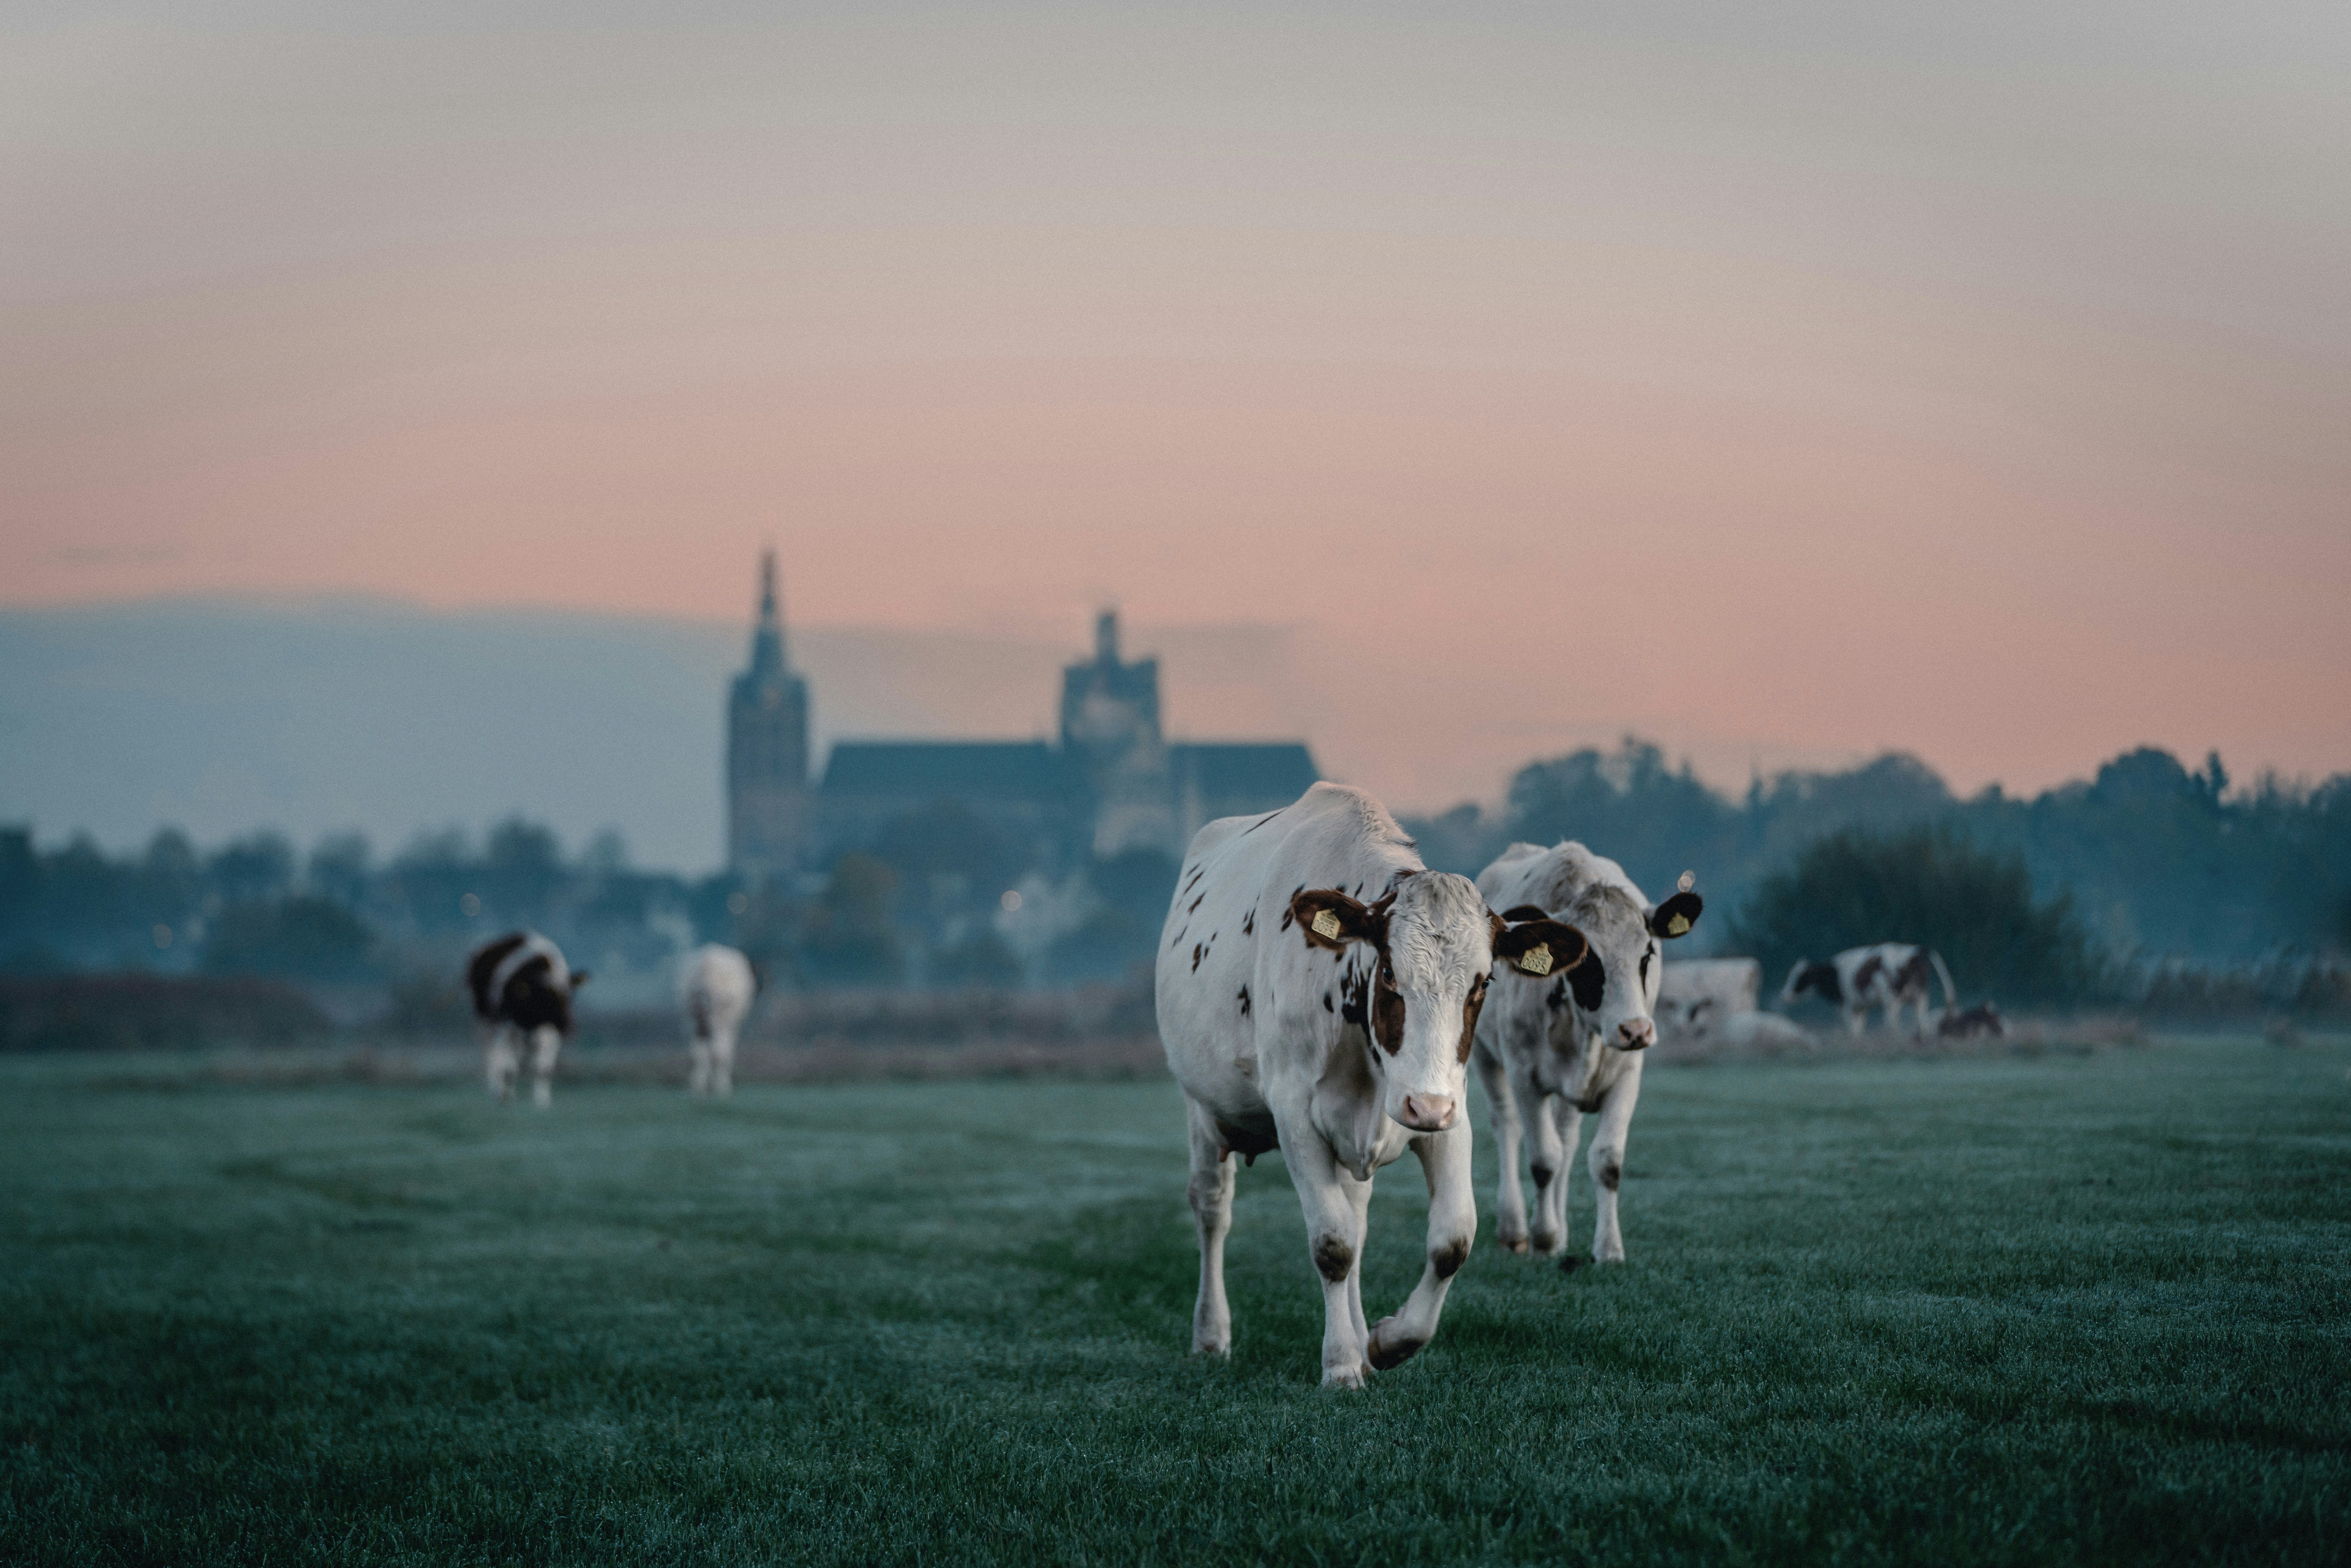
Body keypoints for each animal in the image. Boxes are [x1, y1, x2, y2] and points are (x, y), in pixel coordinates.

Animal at [465, 931, 588, 1107]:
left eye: (570, 995)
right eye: (547, 999)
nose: (569, 1026)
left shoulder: (549, 1031)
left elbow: (543, 1069)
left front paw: (542, 1102)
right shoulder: (505, 1022)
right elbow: (507, 1066)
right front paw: (503, 1096)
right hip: (485, 1020)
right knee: (491, 1053)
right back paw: (497, 1090)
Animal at [677, 943, 759, 1095]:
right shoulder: (729, 1023)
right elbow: (724, 1052)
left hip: (692, 1020)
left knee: (698, 1053)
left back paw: (699, 1087)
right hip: (719, 1019)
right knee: (719, 1052)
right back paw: (720, 1087)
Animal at [1156, 783, 1588, 1388]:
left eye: (1483, 983)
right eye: (1388, 973)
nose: (1424, 1106)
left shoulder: (1450, 1112)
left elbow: (1451, 1238)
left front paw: (1387, 1342)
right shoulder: (1295, 1115)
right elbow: (1332, 1244)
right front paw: (1340, 1363)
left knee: (1357, 1217)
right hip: (1203, 1109)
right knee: (1214, 1208)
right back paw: (1212, 1333)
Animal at [1470, 843, 1704, 1266]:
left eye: (1647, 954)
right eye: (1588, 960)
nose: (1635, 1030)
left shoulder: (1628, 1074)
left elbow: (1605, 1160)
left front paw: (1608, 1248)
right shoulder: (1524, 1078)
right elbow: (1543, 1160)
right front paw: (1544, 1238)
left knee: (1566, 1139)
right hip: (1485, 1056)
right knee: (1507, 1125)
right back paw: (1515, 1229)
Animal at [1780, 944, 1956, 1036]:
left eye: (1801, 978)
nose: (1784, 995)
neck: (1835, 974)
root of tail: (1915, 951)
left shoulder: (1849, 1006)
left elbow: (1853, 1030)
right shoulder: (1861, 1008)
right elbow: (1860, 1030)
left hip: (1893, 1000)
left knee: (1893, 1024)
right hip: (1921, 998)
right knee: (1922, 1022)